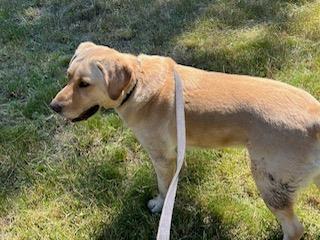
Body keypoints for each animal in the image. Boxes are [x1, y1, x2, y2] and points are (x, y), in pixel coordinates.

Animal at [50, 41, 320, 240]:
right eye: (68, 76)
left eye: (84, 84)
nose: (53, 107)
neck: (136, 83)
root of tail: (315, 115)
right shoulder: (175, 153)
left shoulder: (161, 157)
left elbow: (163, 187)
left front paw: (160, 205)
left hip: (269, 182)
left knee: (295, 230)